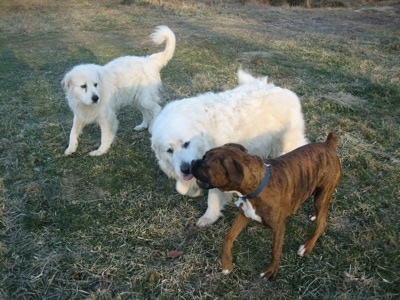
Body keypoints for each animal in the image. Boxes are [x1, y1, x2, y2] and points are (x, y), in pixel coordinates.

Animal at [62, 24, 175, 156]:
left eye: (95, 84)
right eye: (83, 86)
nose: (96, 98)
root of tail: (149, 60)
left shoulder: (106, 118)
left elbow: (105, 137)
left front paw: (100, 151)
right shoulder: (80, 115)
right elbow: (72, 132)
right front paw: (71, 148)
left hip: (145, 99)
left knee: (156, 109)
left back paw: (152, 128)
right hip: (137, 99)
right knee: (146, 113)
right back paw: (142, 126)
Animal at [152, 69, 308, 226]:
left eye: (186, 143)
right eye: (169, 151)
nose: (186, 169)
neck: (202, 130)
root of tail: (283, 90)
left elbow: (213, 198)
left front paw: (209, 217)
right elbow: (180, 187)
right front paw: (193, 191)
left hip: (289, 142)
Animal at [190, 132, 340, 280]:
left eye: (205, 164)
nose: (192, 162)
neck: (257, 187)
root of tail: (328, 144)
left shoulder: (278, 227)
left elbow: (276, 250)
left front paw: (271, 271)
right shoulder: (244, 215)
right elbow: (228, 238)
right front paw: (226, 263)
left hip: (322, 195)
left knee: (322, 223)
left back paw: (306, 247)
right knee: (321, 215)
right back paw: (315, 216)